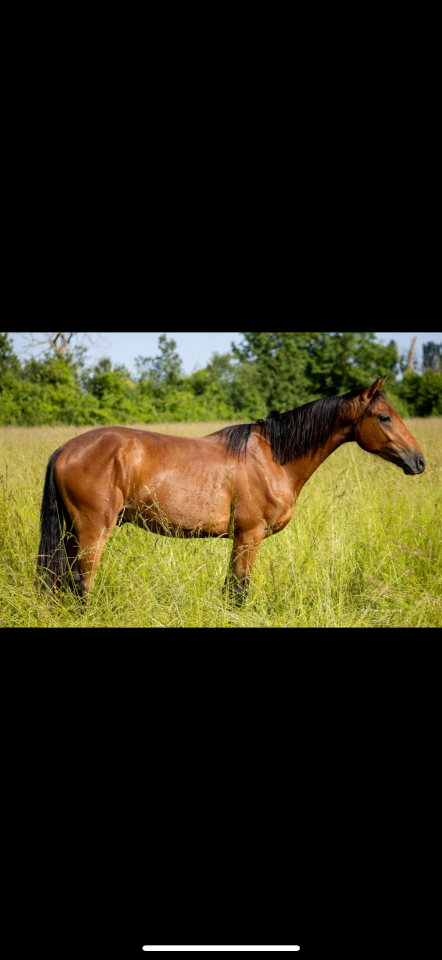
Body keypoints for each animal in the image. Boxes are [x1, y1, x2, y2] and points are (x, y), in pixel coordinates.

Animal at [37, 377, 426, 603]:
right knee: (81, 583)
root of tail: (66, 449)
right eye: (385, 417)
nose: (419, 461)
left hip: (74, 534)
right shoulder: (248, 536)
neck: (273, 456)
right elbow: (239, 590)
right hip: (93, 532)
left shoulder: (240, 539)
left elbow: (231, 588)